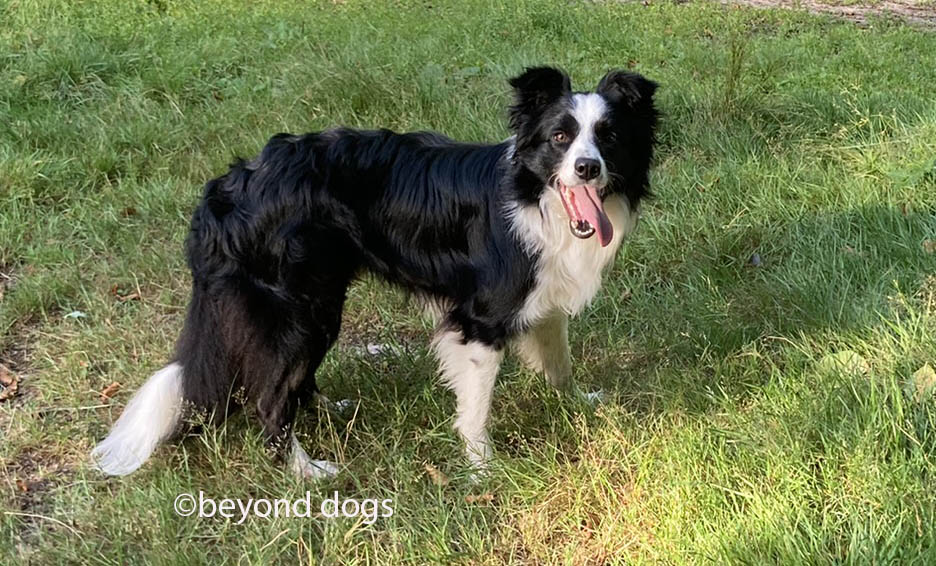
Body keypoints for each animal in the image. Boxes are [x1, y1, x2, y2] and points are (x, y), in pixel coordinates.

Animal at [89, 67, 660, 480]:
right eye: (560, 137)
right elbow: (476, 407)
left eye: (608, 138)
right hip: (299, 308)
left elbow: (559, 365)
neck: (534, 195)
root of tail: (225, 190)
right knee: (268, 399)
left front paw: (579, 406)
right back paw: (308, 472)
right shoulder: (480, 319)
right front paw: (483, 469)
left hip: (318, 301)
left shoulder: (542, 299)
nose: (587, 168)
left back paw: (330, 412)